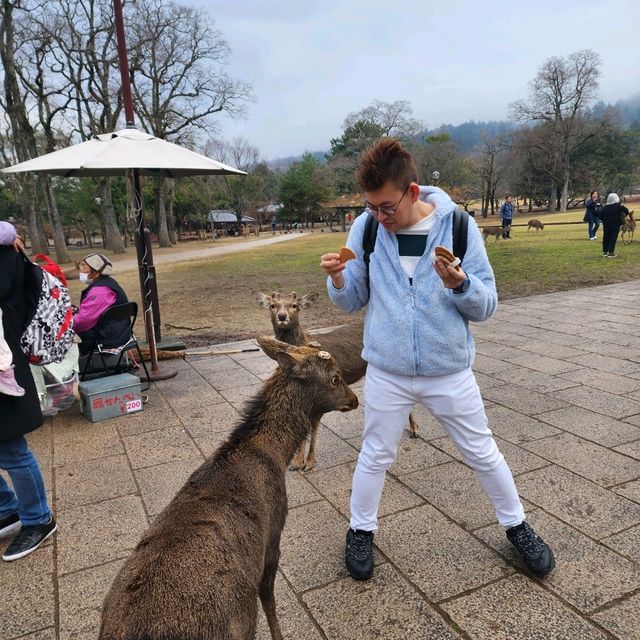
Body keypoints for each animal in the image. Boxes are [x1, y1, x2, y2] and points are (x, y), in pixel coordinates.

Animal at [100, 336, 360, 640]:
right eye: (335, 378)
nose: (354, 399)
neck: (276, 454)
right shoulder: (272, 536)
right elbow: (269, 601)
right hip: (237, 625)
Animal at [255, 290, 420, 470]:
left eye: (294, 305)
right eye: (272, 305)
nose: (282, 316)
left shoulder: (323, 398)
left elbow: (313, 426)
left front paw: (309, 463)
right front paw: (296, 463)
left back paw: (414, 429)